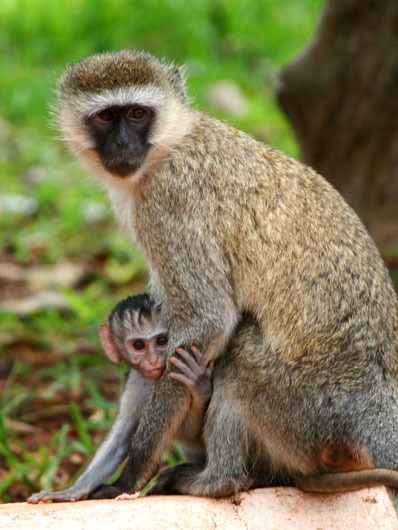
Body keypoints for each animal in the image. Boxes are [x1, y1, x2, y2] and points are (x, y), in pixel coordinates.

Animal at [28, 294, 213, 502]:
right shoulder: (134, 382)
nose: (154, 361)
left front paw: (199, 386)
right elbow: (119, 440)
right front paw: (71, 491)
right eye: (139, 345)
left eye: (162, 340)